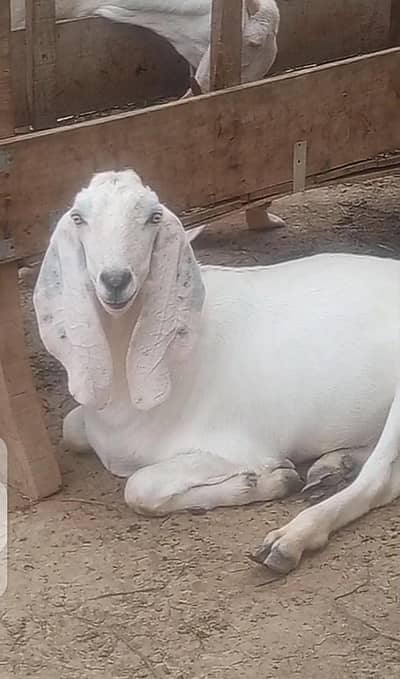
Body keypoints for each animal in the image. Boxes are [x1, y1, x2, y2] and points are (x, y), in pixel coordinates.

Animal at [34, 170, 400, 574]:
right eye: (78, 217)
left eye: (153, 217)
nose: (115, 280)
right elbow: (71, 430)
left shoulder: (240, 444)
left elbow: (139, 488)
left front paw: (263, 480)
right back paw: (334, 467)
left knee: (380, 481)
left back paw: (290, 539)